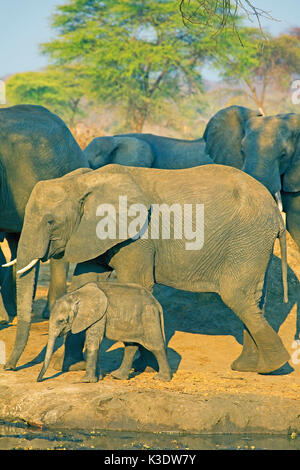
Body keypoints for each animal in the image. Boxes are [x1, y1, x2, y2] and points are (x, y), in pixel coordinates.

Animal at [37, 280, 171, 384]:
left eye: (61, 321)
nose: (39, 380)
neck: (76, 294)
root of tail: (157, 303)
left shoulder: (100, 314)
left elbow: (93, 341)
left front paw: (85, 381)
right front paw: (99, 377)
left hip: (148, 317)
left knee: (155, 346)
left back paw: (161, 379)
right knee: (130, 346)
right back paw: (117, 376)